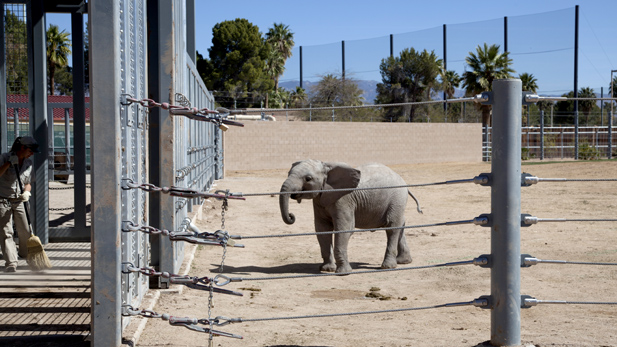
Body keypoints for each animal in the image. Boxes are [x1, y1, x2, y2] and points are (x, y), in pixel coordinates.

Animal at [276, 160, 422, 274]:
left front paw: (343, 272)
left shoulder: (343, 199)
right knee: (400, 225)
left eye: (308, 178)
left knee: (392, 227)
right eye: (288, 173)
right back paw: (403, 261)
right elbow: (322, 229)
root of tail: (404, 183)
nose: (291, 216)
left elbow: (345, 228)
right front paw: (326, 269)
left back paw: (388, 267)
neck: (327, 168)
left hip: (397, 198)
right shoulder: (319, 201)